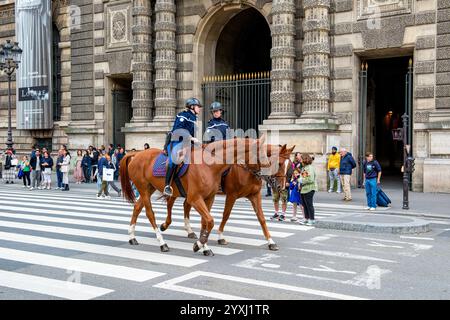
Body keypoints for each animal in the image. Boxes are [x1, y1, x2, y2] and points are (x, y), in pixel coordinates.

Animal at [118, 136, 268, 256]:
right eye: (259, 152)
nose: (262, 176)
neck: (210, 165)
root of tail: (136, 154)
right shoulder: (196, 198)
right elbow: (211, 220)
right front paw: (199, 245)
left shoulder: (209, 198)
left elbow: (205, 222)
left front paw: (204, 247)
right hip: (143, 189)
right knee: (150, 213)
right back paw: (162, 243)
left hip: (150, 188)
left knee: (137, 207)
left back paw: (132, 237)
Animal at [162, 144, 296, 251]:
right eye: (279, 164)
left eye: (290, 166)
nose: (281, 187)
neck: (247, 168)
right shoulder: (232, 195)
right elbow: (226, 215)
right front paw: (220, 237)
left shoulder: (255, 195)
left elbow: (261, 219)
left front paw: (270, 241)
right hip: (180, 190)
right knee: (171, 202)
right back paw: (166, 225)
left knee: (186, 205)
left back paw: (189, 231)